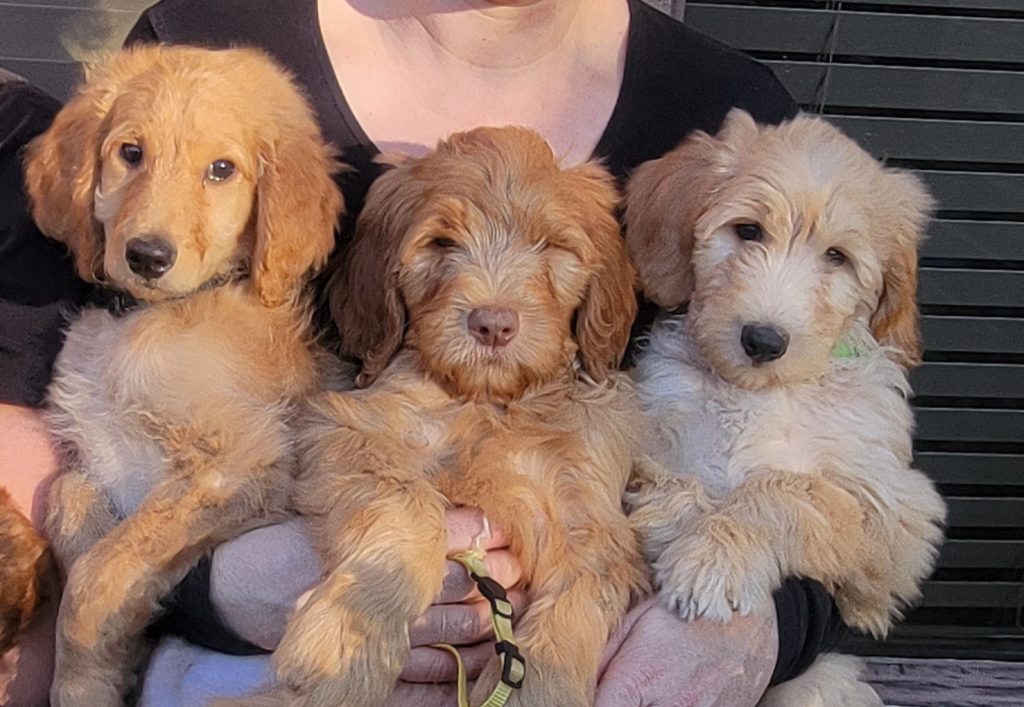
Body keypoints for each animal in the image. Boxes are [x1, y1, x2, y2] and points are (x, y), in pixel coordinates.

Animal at [23, 46, 344, 700]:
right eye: (131, 153)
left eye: (221, 170)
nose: (147, 256)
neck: (147, 321)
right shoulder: (97, 453)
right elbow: (68, 502)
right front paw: (104, 668)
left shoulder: (244, 463)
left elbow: (100, 571)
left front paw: (80, 680)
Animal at [239, 126, 647, 704]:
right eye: (441, 243)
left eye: (552, 245)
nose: (493, 324)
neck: (486, 402)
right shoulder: (349, 431)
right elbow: (409, 509)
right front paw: (344, 646)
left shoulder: (590, 521)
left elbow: (569, 612)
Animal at [618, 107, 946, 700]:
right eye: (747, 230)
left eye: (837, 257)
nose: (763, 341)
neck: (758, 394)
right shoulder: (648, 434)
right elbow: (669, 482)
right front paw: (679, 526)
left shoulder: (898, 514)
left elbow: (783, 491)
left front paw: (712, 555)